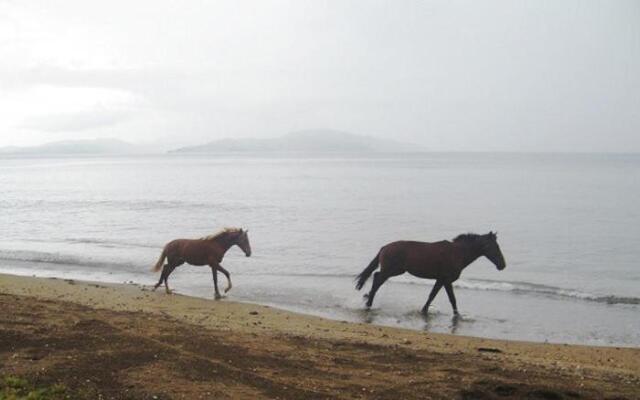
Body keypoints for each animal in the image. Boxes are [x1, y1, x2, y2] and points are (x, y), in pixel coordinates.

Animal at [356, 233, 504, 314]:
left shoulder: (440, 279)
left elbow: (433, 295)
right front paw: (457, 315)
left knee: (376, 277)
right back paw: (368, 303)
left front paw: (424, 310)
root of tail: (384, 247)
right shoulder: (446, 279)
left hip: (394, 270)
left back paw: (368, 300)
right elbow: (451, 299)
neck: (458, 253)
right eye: (494, 246)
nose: (502, 265)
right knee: (377, 279)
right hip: (392, 270)